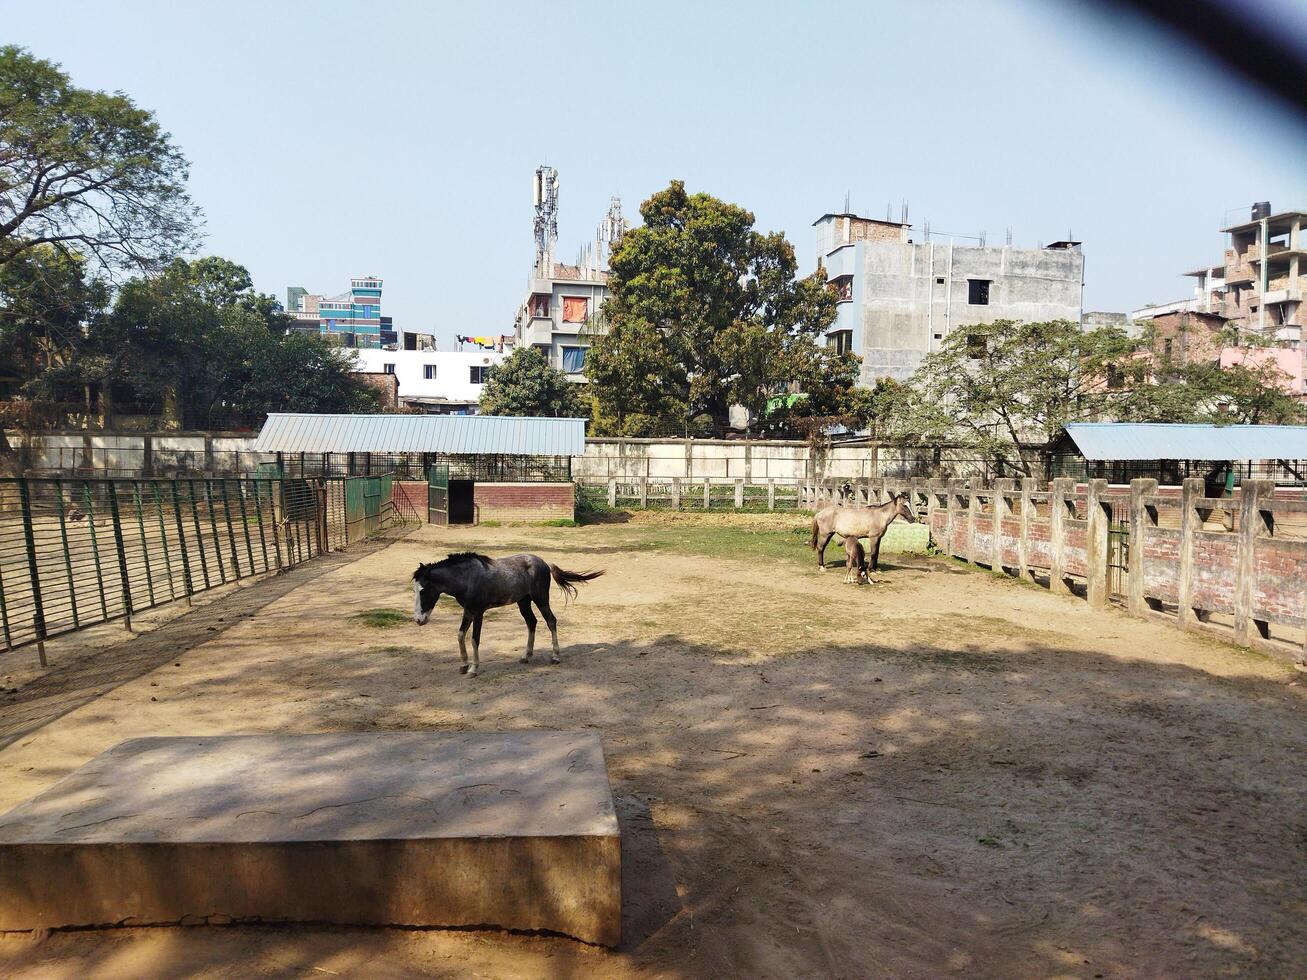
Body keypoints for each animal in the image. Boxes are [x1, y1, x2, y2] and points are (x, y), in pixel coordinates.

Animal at [410, 556, 603, 679]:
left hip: (541, 599)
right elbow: (460, 635)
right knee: (532, 622)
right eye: (414, 590)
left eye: (423, 590)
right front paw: (464, 665)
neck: (468, 578)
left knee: (551, 621)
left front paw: (473, 668)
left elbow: (474, 639)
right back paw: (526, 656)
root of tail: (543, 563)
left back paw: (555, 657)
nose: (418, 620)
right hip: (524, 602)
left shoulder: (478, 612)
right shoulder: (468, 611)